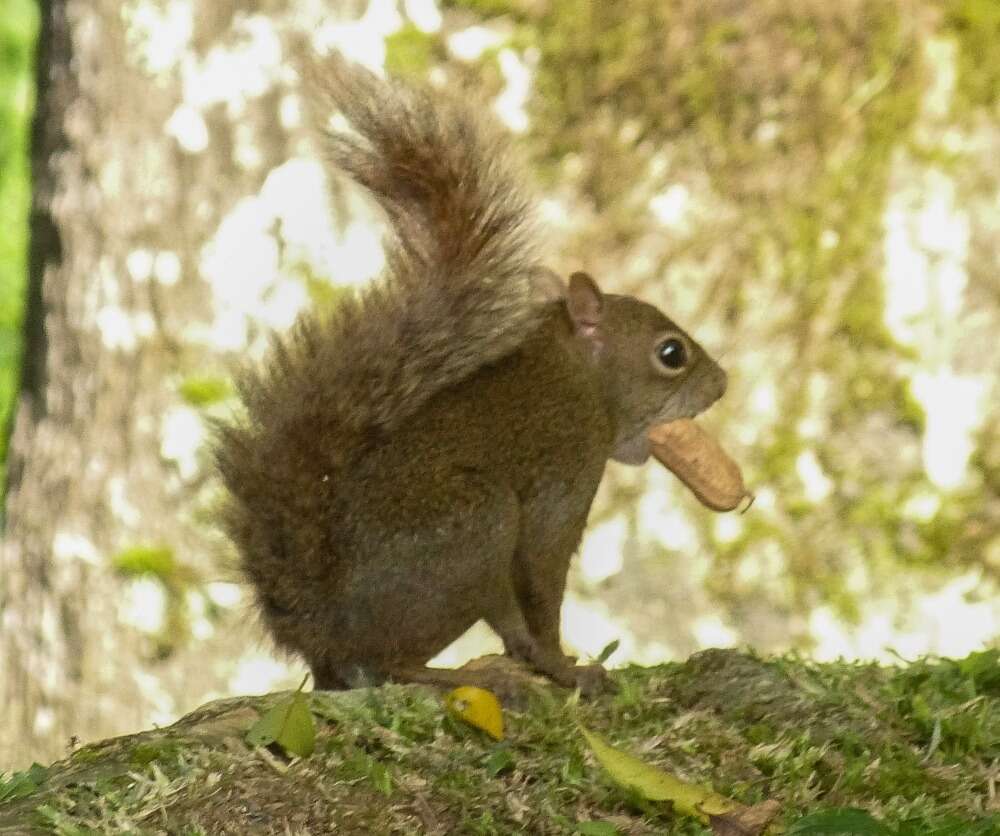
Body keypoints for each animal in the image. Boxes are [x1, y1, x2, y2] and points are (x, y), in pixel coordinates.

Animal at [213, 57, 728, 700]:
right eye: (671, 353)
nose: (722, 383)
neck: (579, 377)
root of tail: (324, 627)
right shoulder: (564, 474)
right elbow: (542, 578)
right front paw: (566, 668)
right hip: (474, 525)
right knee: (389, 663)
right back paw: (466, 674)